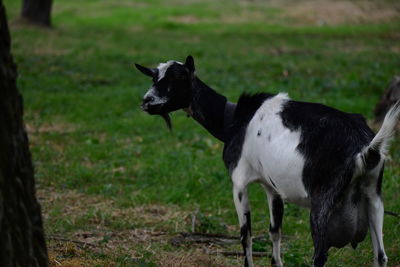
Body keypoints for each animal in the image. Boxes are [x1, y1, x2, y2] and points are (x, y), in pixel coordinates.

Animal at [135, 56, 400, 267]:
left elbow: (246, 235)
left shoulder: (239, 181)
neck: (233, 121)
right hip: (373, 196)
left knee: (320, 255)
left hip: (322, 202)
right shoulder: (272, 187)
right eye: (154, 78)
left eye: (178, 79)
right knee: (380, 256)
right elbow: (275, 232)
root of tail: (365, 148)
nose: (146, 101)